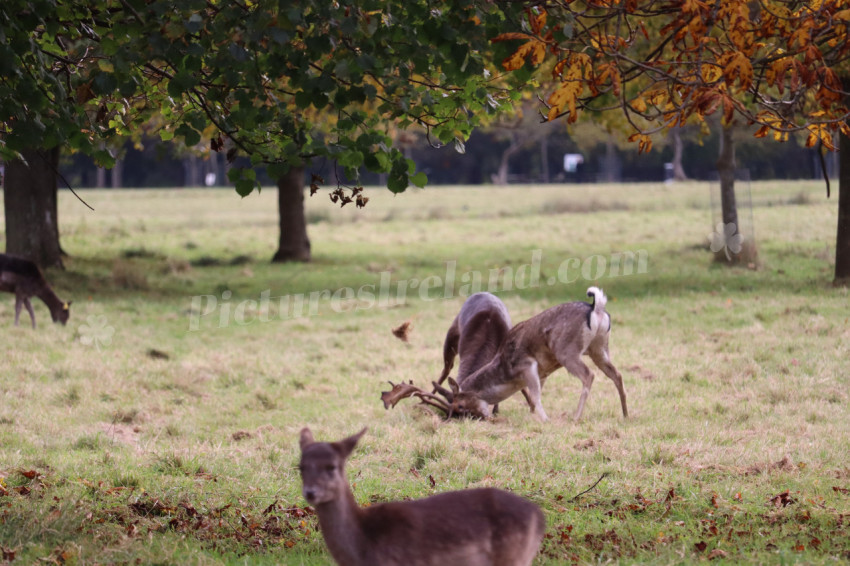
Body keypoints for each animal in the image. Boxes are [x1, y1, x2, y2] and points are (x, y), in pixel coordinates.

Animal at [440, 286, 628, 424]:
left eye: (460, 405)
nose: (482, 418)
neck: (506, 370)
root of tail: (596, 308)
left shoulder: (527, 365)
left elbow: (536, 396)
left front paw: (546, 420)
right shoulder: (543, 372)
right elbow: (534, 396)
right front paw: (531, 415)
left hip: (567, 351)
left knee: (589, 374)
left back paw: (575, 417)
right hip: (600, 348)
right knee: (617, 374)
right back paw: (626, 414)